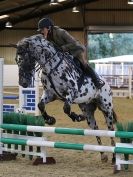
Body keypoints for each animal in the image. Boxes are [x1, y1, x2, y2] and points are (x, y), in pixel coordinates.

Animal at [14, 34, 117, 163]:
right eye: (16, 60)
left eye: (25, 59)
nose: (23, 83)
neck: (51, 66)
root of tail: (107, 84)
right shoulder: (50, 94)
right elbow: (40, 105)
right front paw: (50, 120)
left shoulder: (72, 92)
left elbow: (66, 108)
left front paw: (76, 117)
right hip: (87, 109)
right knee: (96, 129)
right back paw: (103, 155)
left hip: (106, 109)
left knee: (111, 131)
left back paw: (114, 158)